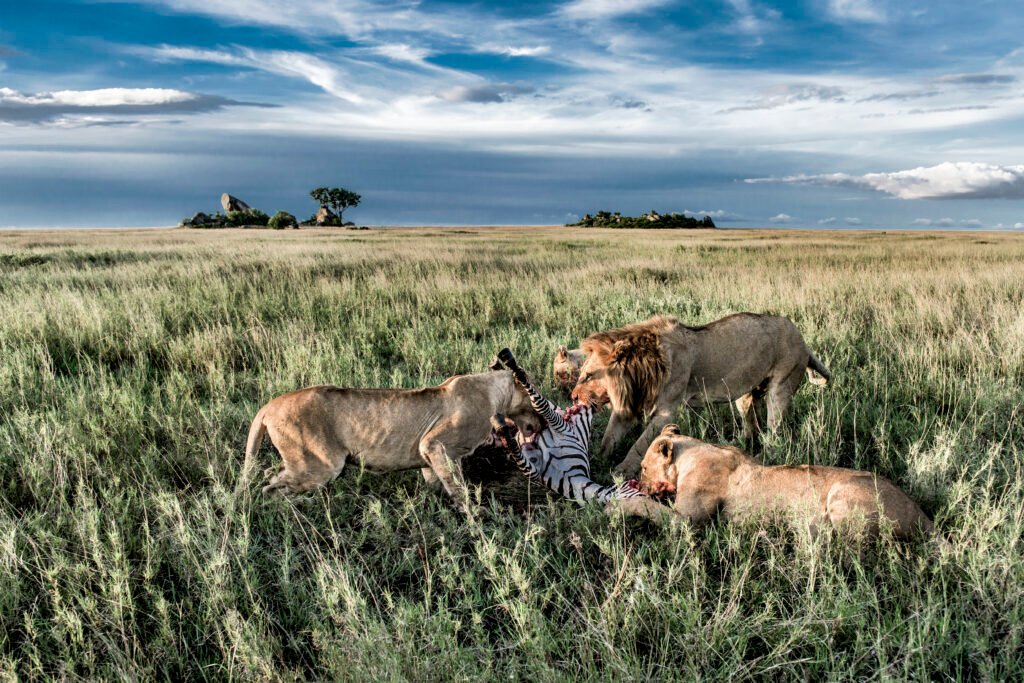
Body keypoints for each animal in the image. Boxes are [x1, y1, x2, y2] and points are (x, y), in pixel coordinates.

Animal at [244, 368, 544, 507]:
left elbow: (438, 481)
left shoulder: (430, 456)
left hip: (300, 462)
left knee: (270, 473)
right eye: (534, 399)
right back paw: (297, 508)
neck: (495, 393)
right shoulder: (434, 443)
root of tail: (269, 405)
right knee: (270, 489)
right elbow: (458, 487)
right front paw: (472, 516)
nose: (540, 424)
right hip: (321, 465)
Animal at [573, 315, 827, 475]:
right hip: (745, 393)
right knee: (751, 419)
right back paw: (740, 442)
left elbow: (639, 444)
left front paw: (621, 472)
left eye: (588, 375)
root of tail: (802, 338)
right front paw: (596, 460)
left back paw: (769, 454)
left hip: (781, 388)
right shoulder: (628, 406)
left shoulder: (666, 411)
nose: (573, 398)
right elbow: (609, 437)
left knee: (775, 430)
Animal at [634, 423, 933, 540]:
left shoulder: (686, 522)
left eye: (643, 468)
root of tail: (921, 514)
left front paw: (625, 503)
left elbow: (649, 508)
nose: (638, 483)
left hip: (842, 492)